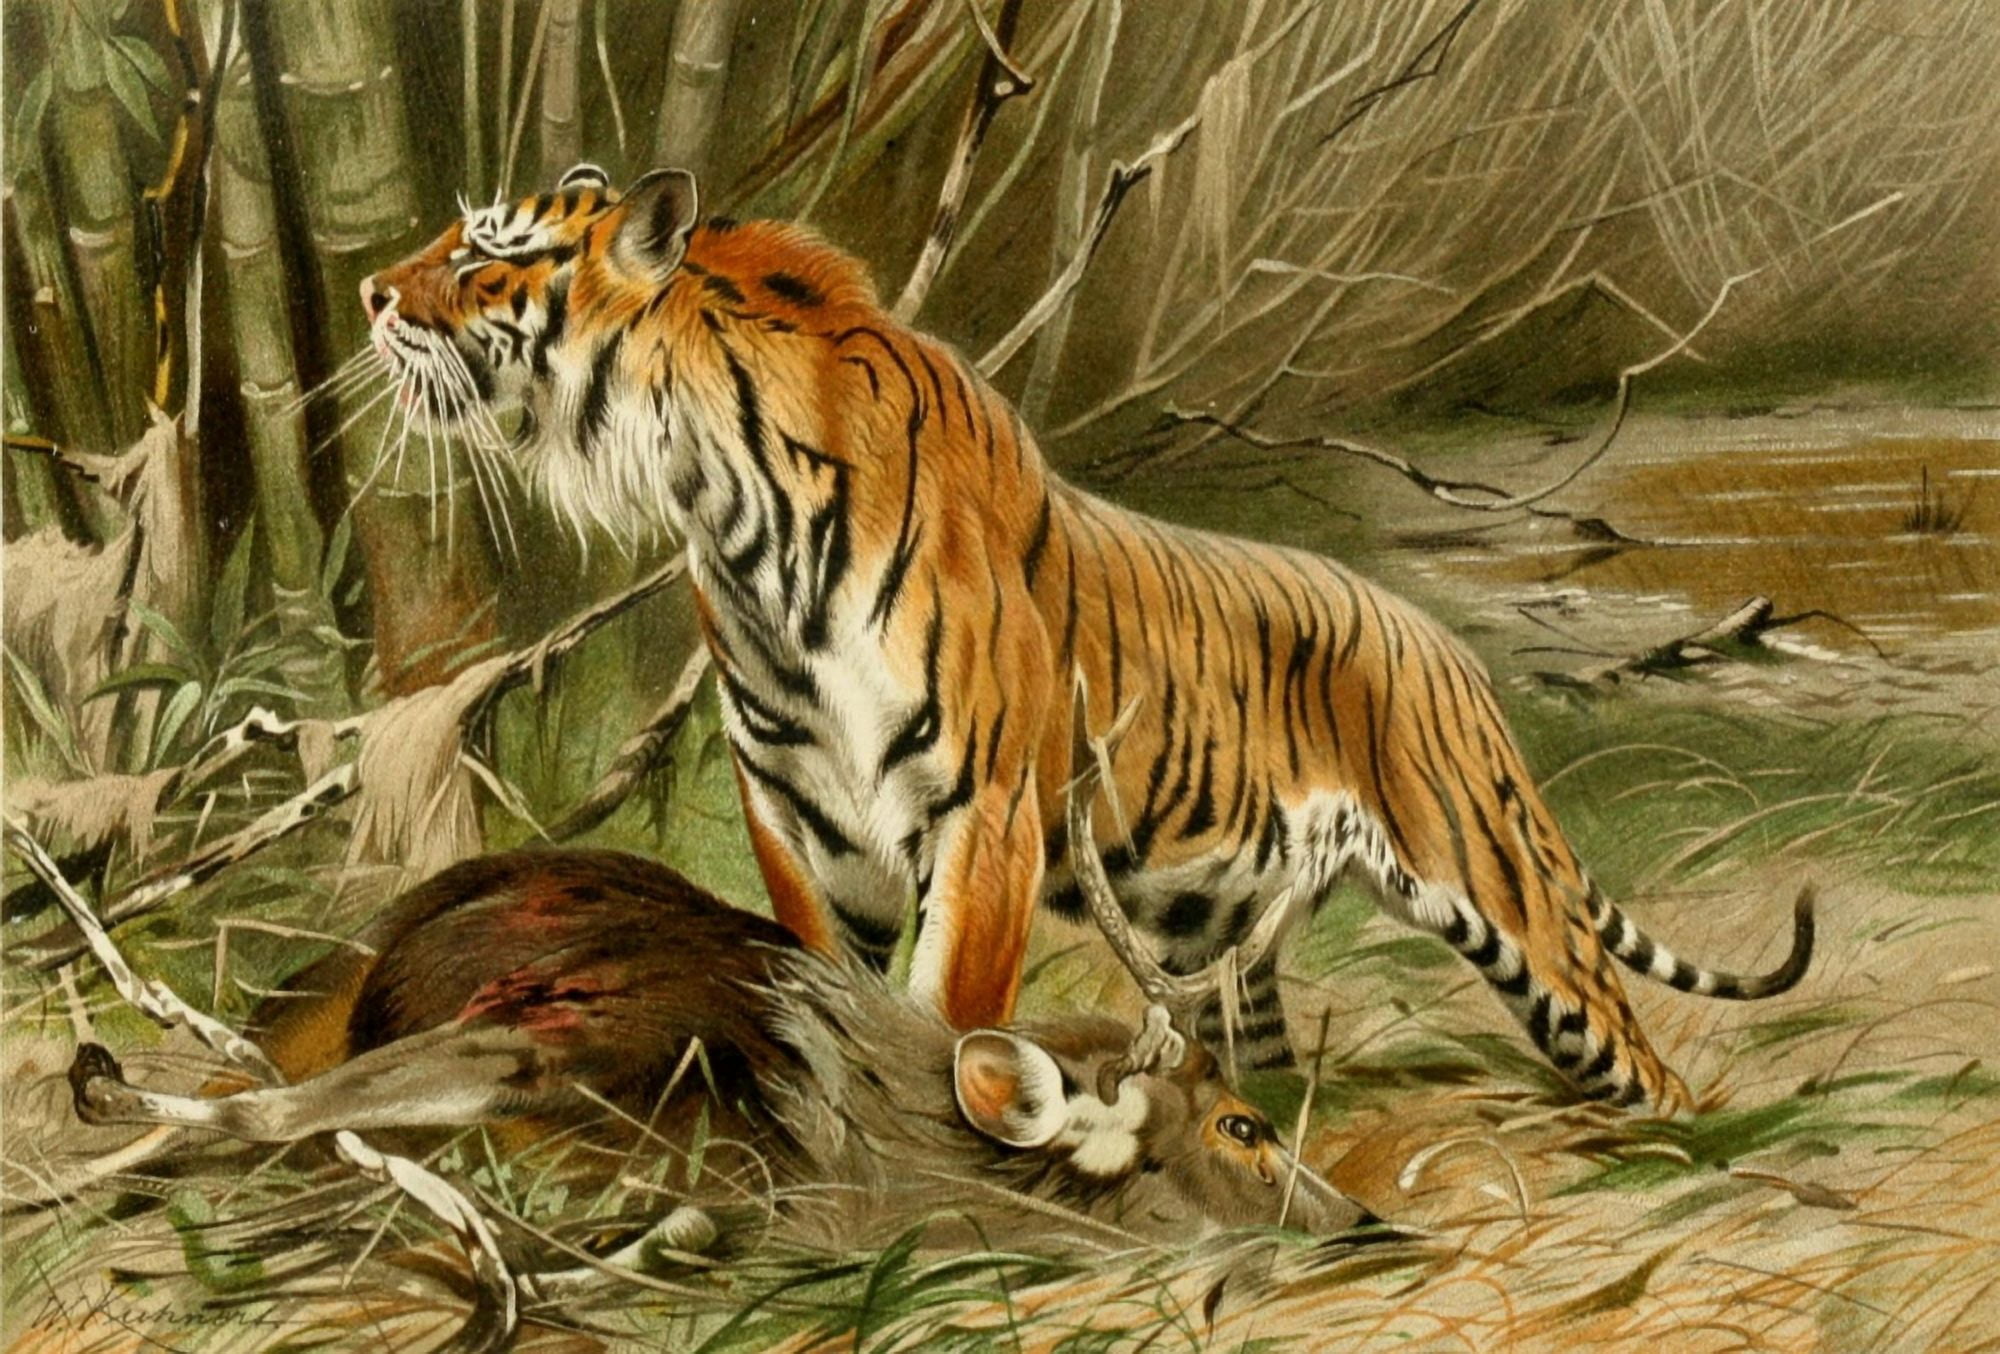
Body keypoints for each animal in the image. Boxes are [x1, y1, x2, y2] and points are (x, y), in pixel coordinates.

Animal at [356, 162, 1813, 1112]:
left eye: (482, 252)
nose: (369, 290)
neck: (723, 505)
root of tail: (1445, 650)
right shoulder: (802, 820)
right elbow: (822, 999)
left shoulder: (985, 813)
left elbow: (944, 1017)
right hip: (1218, 935)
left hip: (1508, 899)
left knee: (1640, 1055)